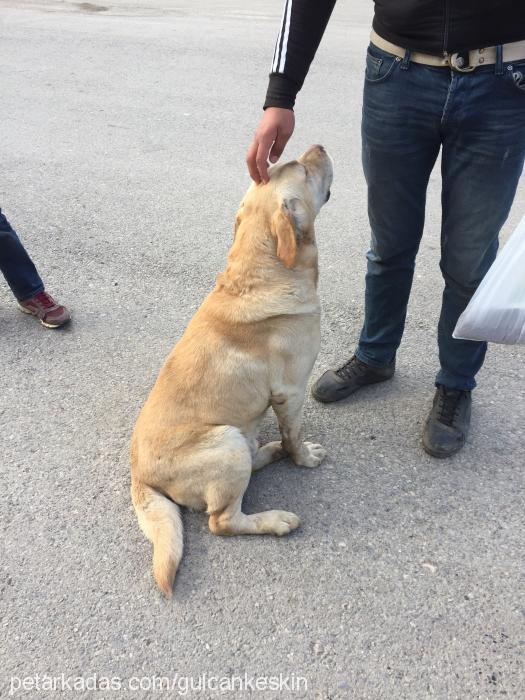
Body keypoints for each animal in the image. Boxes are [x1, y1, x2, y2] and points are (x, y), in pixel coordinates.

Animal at [130, 145, 332, 592]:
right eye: (301, 168)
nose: (320, 147)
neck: (261, 270)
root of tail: (139, 476)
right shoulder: (291, 392)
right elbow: (295, 435)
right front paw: (302, 457)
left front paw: (289, 451)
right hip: (225, 442)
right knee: (221, 519)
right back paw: (275, 519)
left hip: (237, 437)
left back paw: (269, 452)